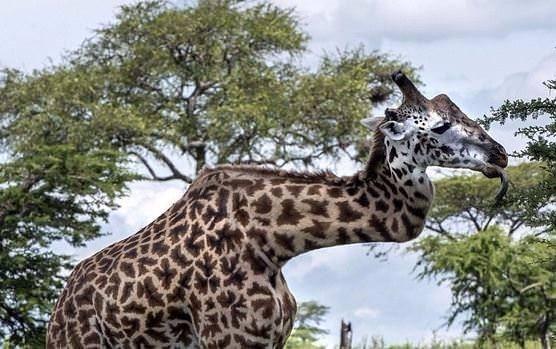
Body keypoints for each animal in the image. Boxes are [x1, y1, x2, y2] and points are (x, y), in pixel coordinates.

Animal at [46, 71, 508, 348]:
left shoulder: (273, 336)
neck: (274, 242)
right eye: (441, 125)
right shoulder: (230, 338)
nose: (499, 154)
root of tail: (58, 310)